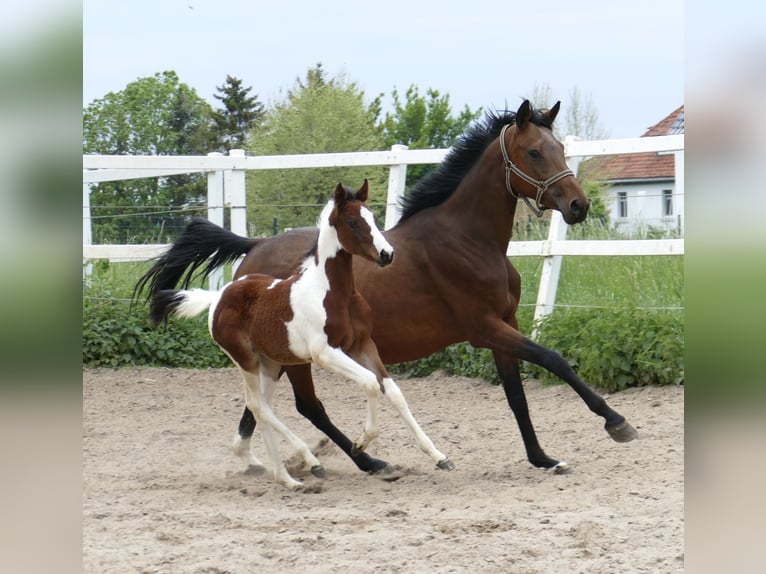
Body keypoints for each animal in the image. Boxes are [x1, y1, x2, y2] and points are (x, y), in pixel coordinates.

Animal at [148, 182, 452, 488]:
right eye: (353, 222)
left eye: (374, 218)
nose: (386, 254)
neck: (335, 294)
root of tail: (218, 297)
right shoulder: (325, 352)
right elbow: (369, 383)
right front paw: (360, 444)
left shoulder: (363, 344)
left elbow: (393, 391)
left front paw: (438, 456)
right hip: (246, 359)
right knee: (259, 406)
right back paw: (309, 463)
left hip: (271, 363)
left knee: (263, 407)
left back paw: (285, 477)